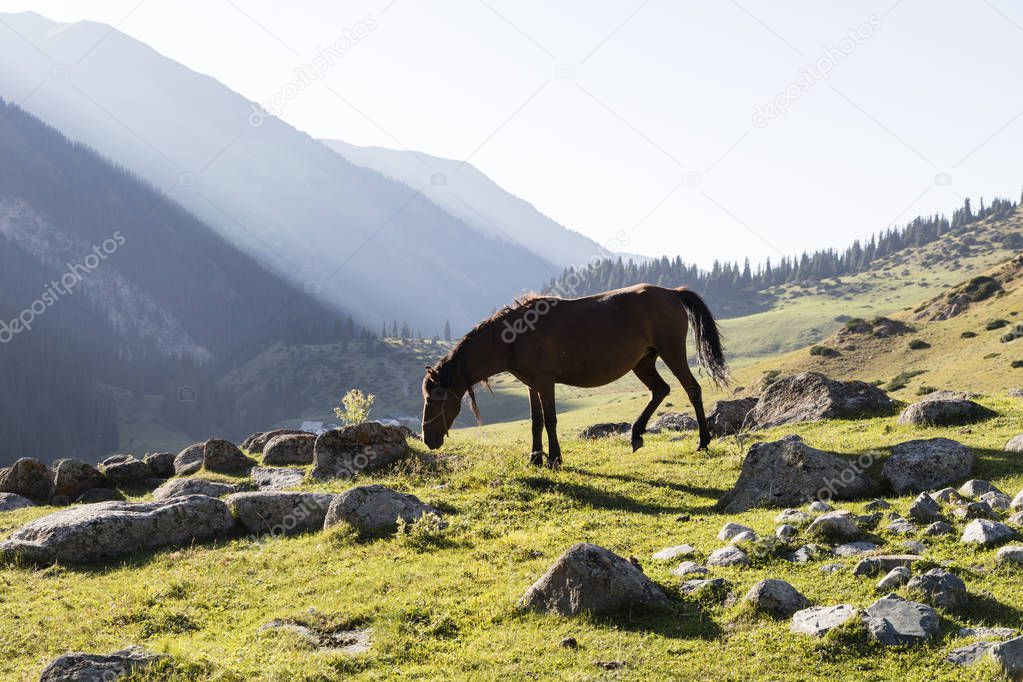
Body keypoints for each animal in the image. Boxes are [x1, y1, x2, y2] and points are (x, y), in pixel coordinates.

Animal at [421, 284, 728, 470]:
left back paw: (703, 441)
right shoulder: (532, 385)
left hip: (671, 353)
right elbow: (536, 422)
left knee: (692, 389)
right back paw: (636, 435)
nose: (428, 439)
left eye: (436, 398)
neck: (516, 336)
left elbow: (550, 421)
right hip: (644, 362)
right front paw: (534, 459)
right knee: (660, 390)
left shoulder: (545, 382)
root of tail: (672, 292)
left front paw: (554, 459)